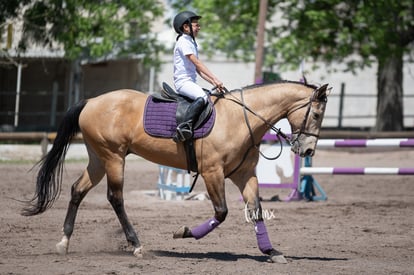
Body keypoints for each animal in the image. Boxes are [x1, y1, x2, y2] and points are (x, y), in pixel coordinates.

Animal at [21, 80, 330, 264]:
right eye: (316, 115)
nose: (308, 151)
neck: (241, 120)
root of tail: (92, 101)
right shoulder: (212, 172)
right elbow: (221, 213)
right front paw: (185, 233)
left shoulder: (244, 174)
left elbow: (254, 210)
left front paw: (271, 251)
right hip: (113, 157)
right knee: (115, 198)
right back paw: (136, 244)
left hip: (98, 158)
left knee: (78, 190)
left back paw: (64, 242)